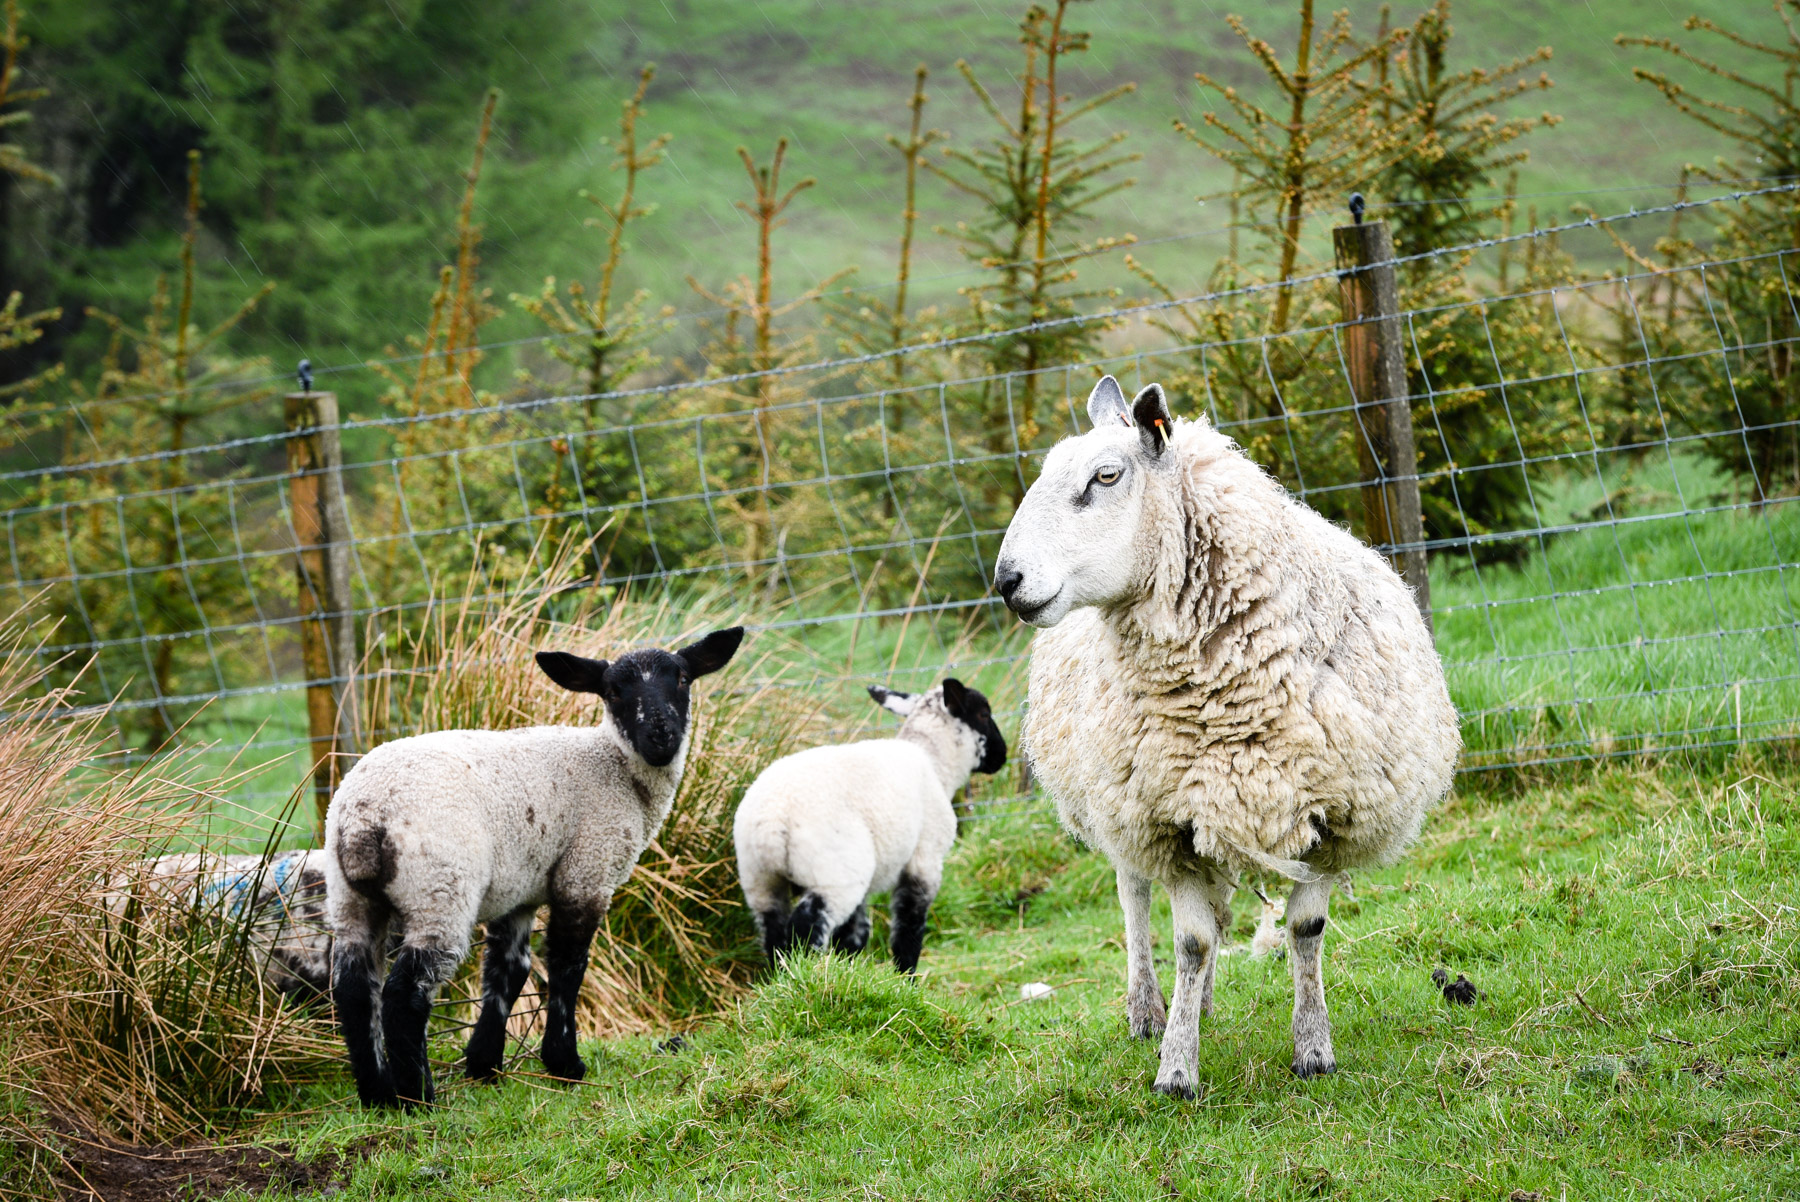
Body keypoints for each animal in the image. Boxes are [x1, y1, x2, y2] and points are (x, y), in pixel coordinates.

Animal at [323, 626, 744, 1108]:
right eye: (613, 691)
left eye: (683, 679)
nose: (661, 735)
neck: (615, 767)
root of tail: (364, 817)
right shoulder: (586, 871)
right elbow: (567, 967)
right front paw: (564, 1063)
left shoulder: (518, 891)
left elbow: (509, 971)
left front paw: (484, 1064)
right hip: (440, 888)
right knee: (404, 993)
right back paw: (418, 1097)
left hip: (349, 898)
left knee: (354, 989)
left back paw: (377, 1094)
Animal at [732, 678, 1007, 973]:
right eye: (984, 714)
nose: (1002, 756)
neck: (935, 762)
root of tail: (769, 824)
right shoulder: (925, 860)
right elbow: (908, 929)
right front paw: (904, 978)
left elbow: (855, 934)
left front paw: (849, 970)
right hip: (833, 874)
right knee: (804, 927)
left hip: (760, 880)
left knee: (773, 934)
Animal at [993, 375, 1459, 1098]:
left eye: (1106, 476)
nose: (1006, 581)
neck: (1232, 688)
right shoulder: (1168, 821)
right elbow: (1189, 943)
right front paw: (1177, 1069)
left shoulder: (1333, 816)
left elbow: (1304, 929)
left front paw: (1313, 1049)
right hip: (1123, 803)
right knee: (1135, 897)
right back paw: (1149, 1010)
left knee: (1214, 912)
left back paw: (1203, 1002)